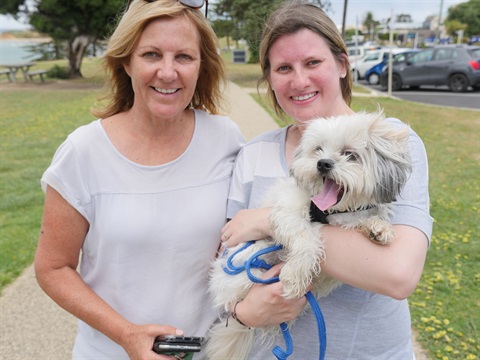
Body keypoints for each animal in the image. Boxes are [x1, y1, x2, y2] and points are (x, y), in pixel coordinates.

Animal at [206, 111, 412, 358]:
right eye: (318, 149)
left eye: (350, 154)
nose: (323, 163)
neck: (330, 211)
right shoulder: (288, 209)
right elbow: (306, 237)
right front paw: (296, 273)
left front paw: (377, 228)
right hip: (246, 267)